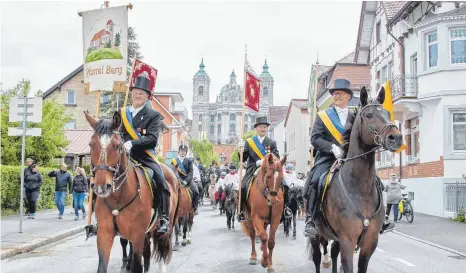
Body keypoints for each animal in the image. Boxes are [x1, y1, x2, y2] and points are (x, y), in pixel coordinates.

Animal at [83, 110, 178, 272]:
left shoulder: (137, 235)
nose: (102, 187)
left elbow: (137, 265)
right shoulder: (104, 234)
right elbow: (103, 266)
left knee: (161, 254)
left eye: (117, 146)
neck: (118, 196)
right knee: (147, 254)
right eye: (91, 144)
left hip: (164, 229)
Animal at [306, 87, 404, 272]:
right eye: (369, 115)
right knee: (317, 257)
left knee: (333, 255)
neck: (360, 189)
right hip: (316, 235)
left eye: (388, 113)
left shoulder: (369, 243)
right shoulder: (347, 240)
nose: (396, 138)